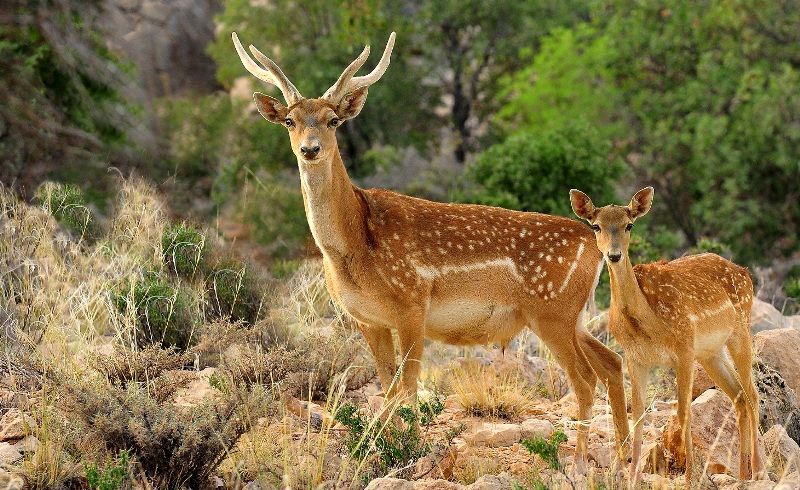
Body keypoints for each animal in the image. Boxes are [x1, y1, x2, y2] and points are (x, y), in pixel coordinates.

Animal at [231, 30, 632, 470]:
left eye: (333, 120)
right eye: (290, 120)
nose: (310, 149)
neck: (352, 247)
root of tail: (593, 243)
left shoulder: (412, 304)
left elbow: (404, 388)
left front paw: (400, 453)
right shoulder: (367, 319)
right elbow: (388, 385)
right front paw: (391, 450)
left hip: (552, 311)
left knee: (585, 379)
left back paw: (579, 462)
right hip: (571, 316)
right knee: (612, 363)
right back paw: (622, 457)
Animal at [568, 188, 764, 486]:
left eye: (629, 225)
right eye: (596, 226)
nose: (614, 255)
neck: (648, 324)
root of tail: (745, 273)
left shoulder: (683, 349)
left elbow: (684, 412)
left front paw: (690, 479)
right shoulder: (636, 358)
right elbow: (638, 415)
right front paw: (632, 478)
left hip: (741, 329)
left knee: (752, 394)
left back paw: (758, 471)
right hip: (710, 352)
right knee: (739, 396)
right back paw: (742, 474)